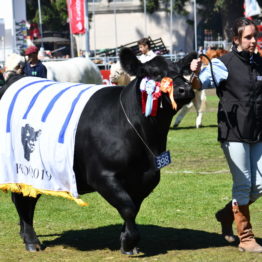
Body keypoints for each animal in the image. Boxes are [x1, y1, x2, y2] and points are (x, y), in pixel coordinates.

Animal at [3, 48, 196, 255]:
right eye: (152, 73)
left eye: (181, 71)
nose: (185, 89)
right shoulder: (102, 176)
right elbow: (127, 207)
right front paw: (129, 241)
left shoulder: (147, 178)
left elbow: (133, 207)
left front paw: (127, 242)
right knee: (24, 202)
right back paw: (32, 241)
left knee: (24, 199)